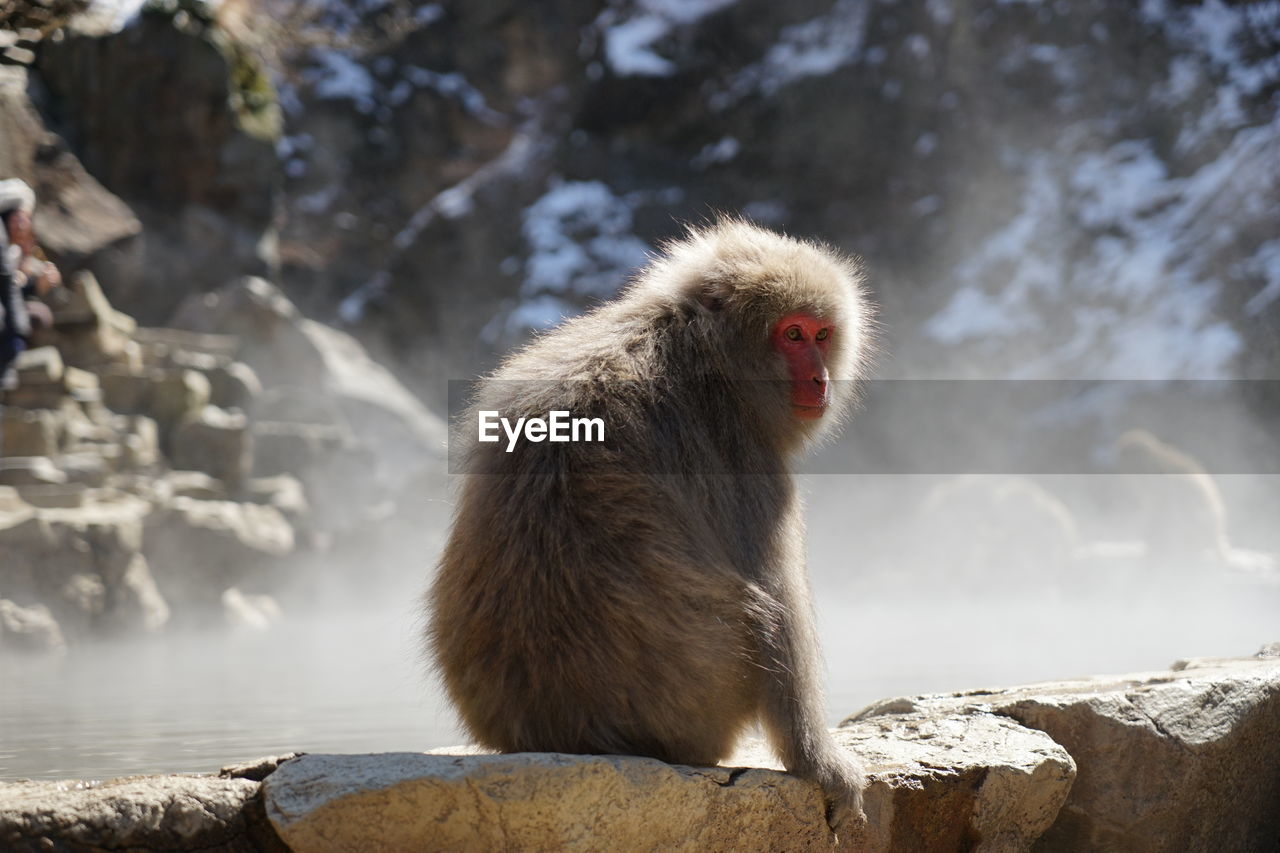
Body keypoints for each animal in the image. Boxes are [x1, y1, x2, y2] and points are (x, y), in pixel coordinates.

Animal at [424, 219, 875, 829]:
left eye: (823, 335)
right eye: (794, 334)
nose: (819, 380)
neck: (702, 354)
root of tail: (570, 733)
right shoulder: (743, 449)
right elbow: (780, 608)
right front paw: (822, 766)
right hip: (699, 709)